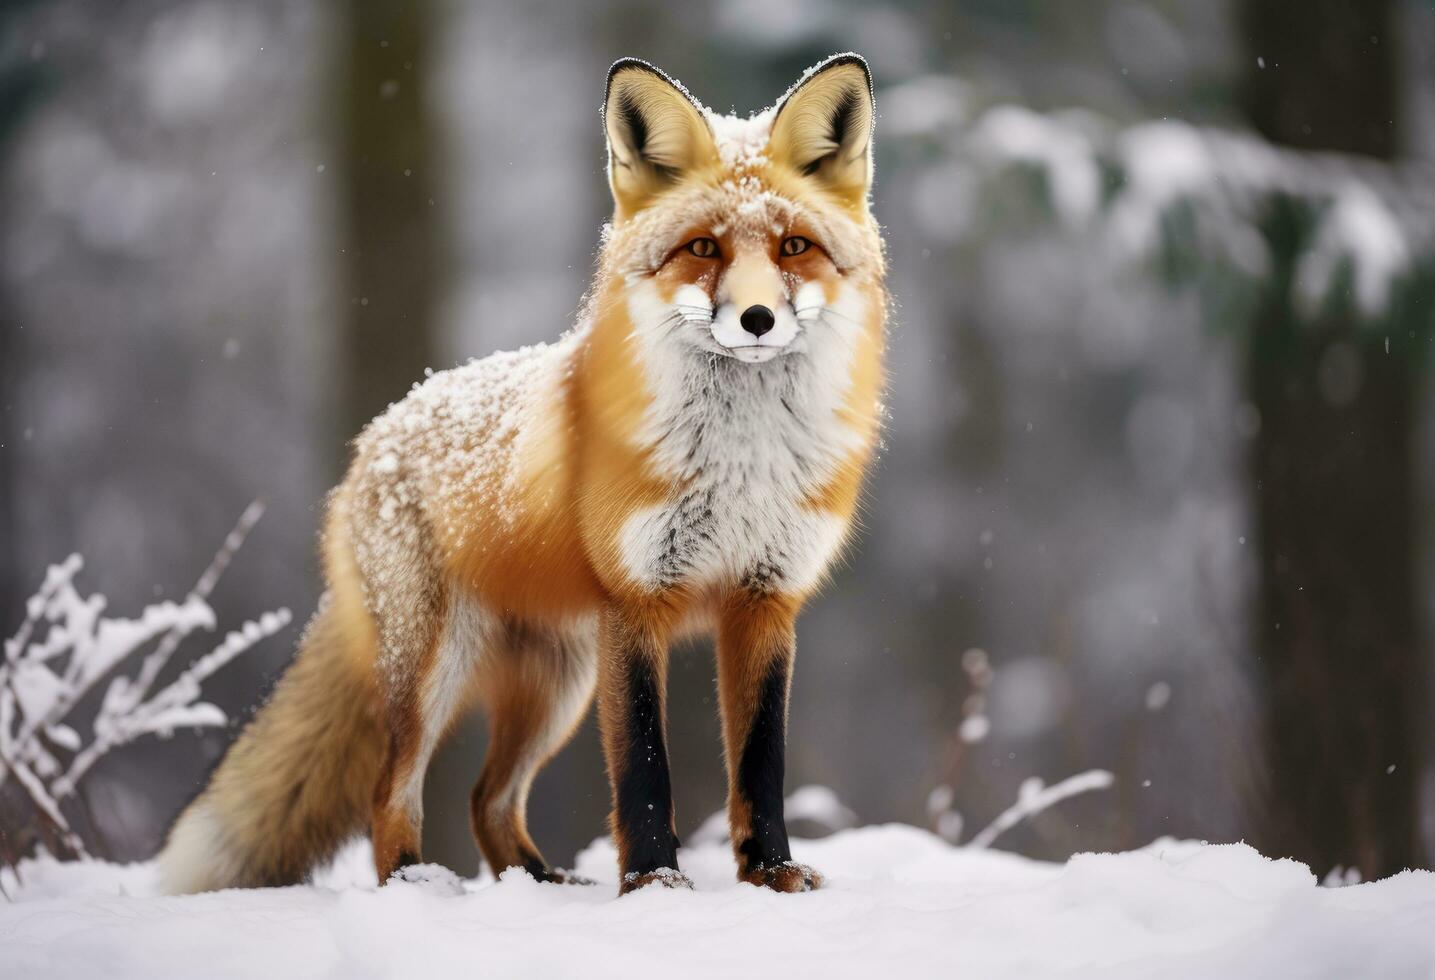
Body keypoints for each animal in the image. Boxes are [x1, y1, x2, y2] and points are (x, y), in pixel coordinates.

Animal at [157, 51, 883, 895]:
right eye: (703, 249)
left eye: (793, 246)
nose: (757, 320)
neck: (741, 459)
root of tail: (379, 430)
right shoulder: (635, 604)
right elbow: (643, 766)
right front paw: (653, 884)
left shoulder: (764, 600)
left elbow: (760, 763)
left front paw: (770, 872)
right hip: (440, 666)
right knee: (391, 791)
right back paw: (413, 884)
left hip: (557, 683)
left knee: (487, 800)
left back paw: (537, 882)